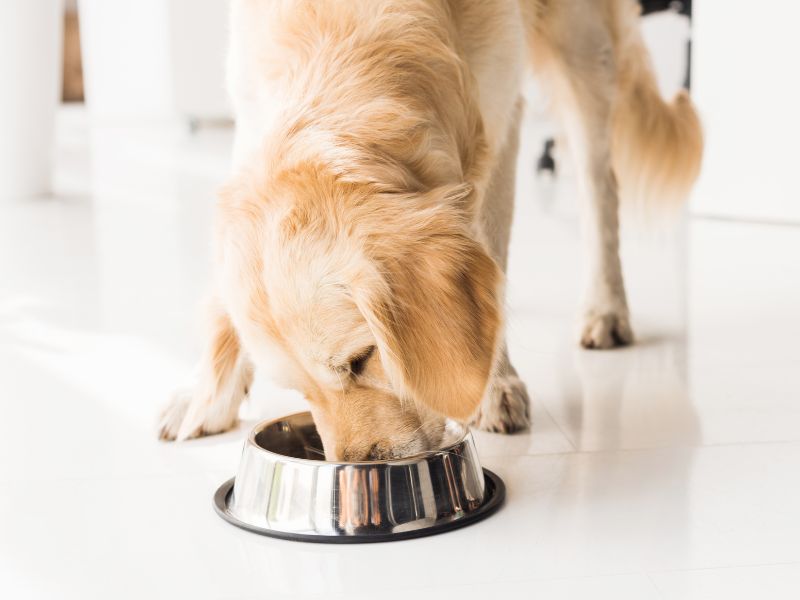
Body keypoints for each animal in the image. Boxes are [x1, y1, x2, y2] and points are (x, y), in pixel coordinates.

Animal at [159, 1, 704, 460]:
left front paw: (493, 385)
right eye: (298, 389)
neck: (341, 32)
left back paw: (605, 307)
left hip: (584, 44)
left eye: (361, 359)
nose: (359, 467)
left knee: (599, 186)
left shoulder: (499, 113)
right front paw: (205, 392)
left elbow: (491, 251)